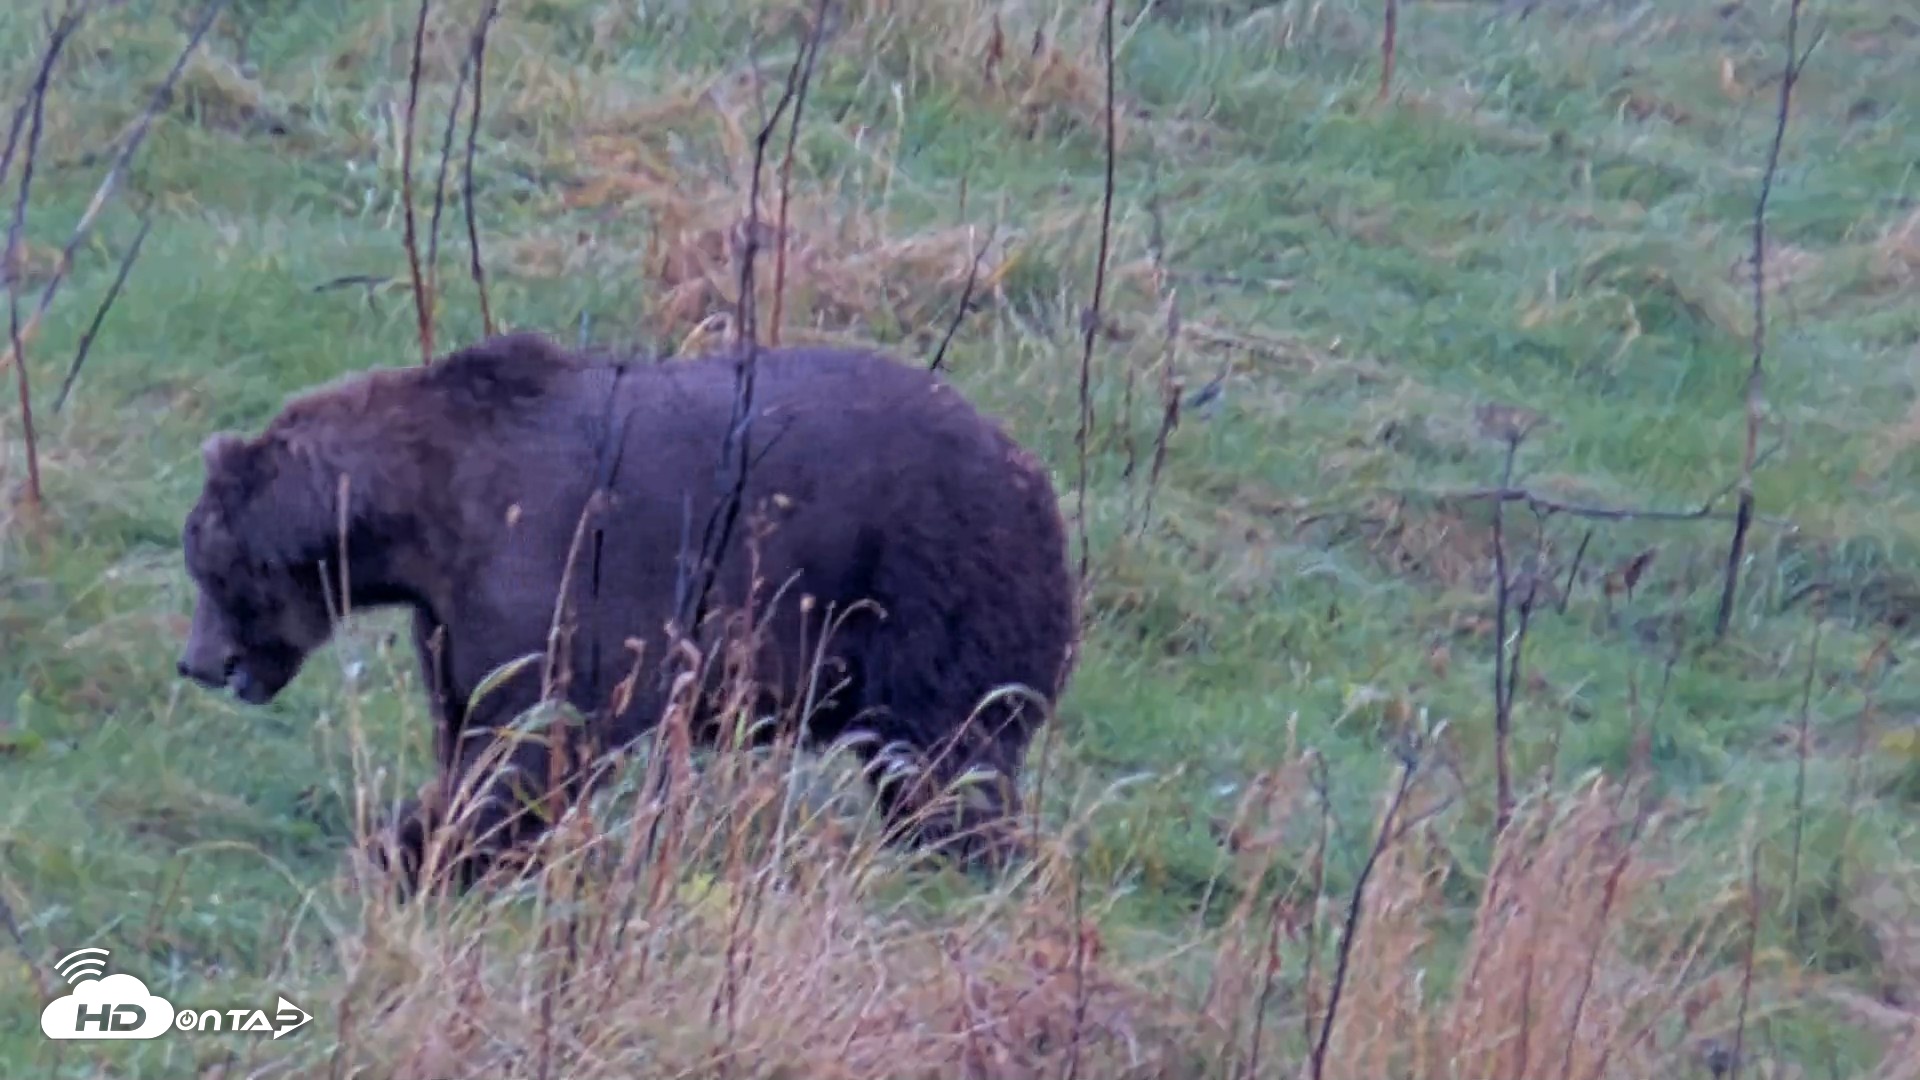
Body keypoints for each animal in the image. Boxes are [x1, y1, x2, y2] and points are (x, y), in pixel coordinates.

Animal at [174, 330, 1078, 891]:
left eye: (215, 573)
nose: (197, 661)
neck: (420, 523)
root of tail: (1031, 468)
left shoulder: (553, 574)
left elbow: (536, 740)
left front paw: (422, 850)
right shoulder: (451, 625)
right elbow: (471, 725)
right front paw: (432, 844)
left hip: (930, 583)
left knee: (947, 753)